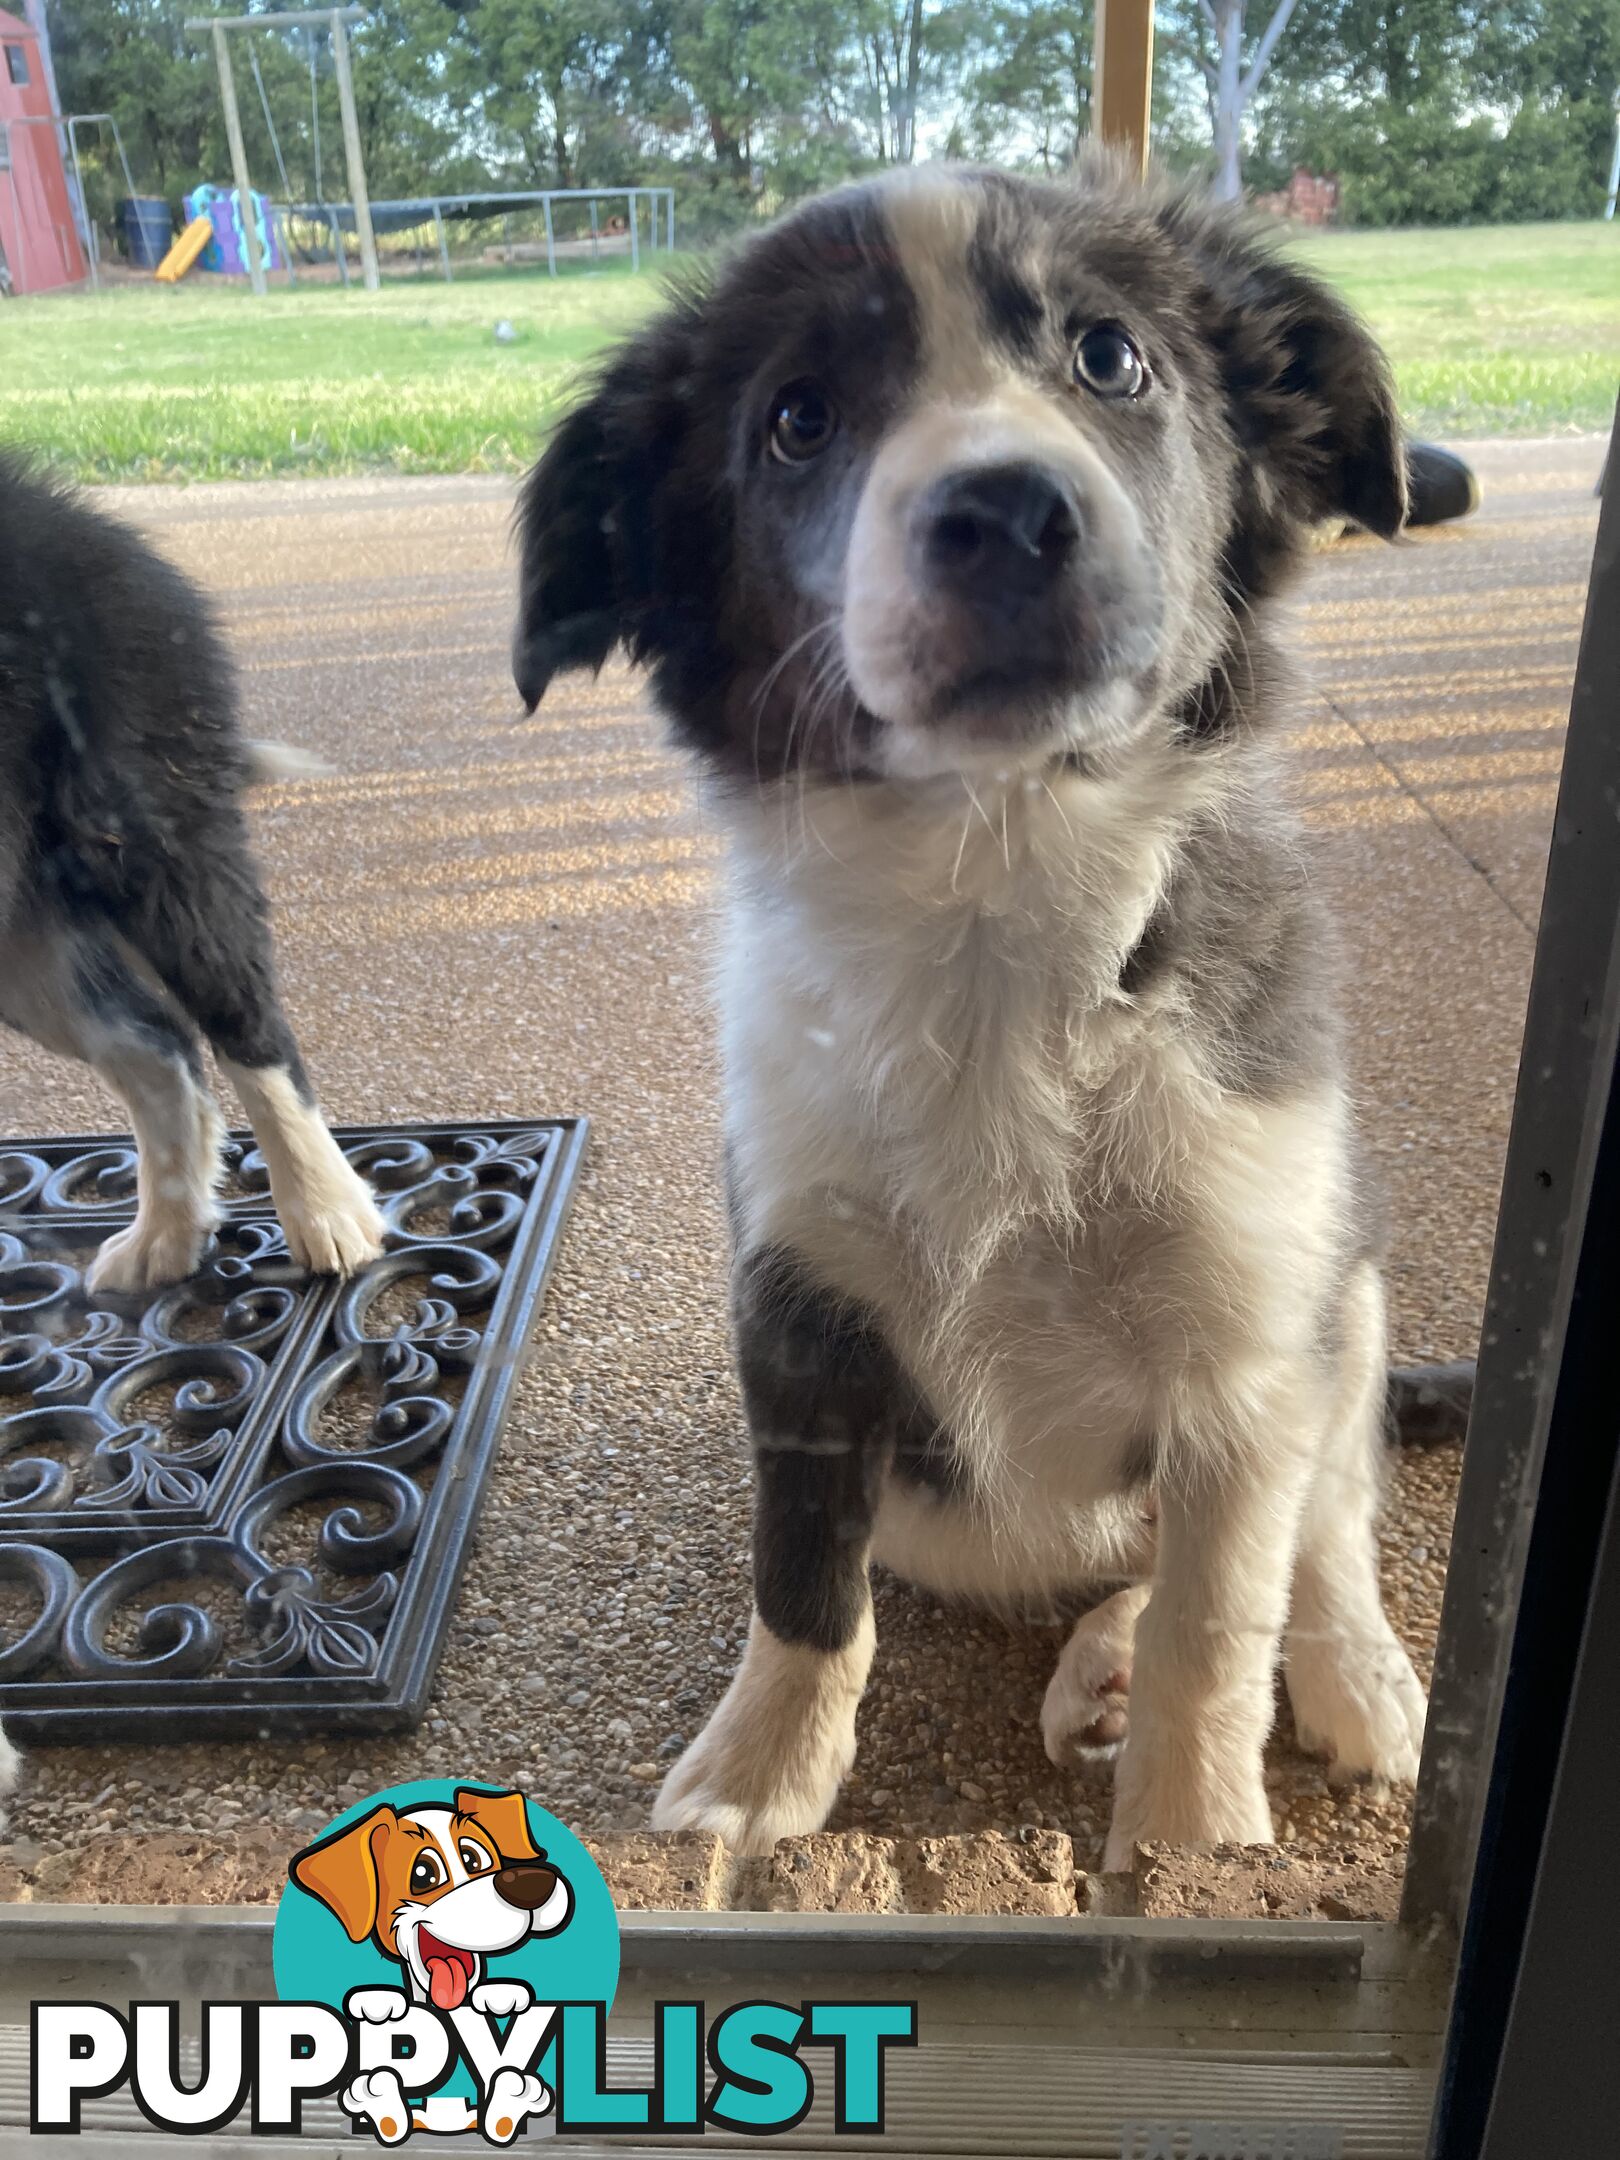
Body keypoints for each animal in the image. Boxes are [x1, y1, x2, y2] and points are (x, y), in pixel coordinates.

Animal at [520, 159, 1434, 1866]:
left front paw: (1190, 1838)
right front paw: (760, 1776)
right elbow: (805, 1579)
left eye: (1110, 357)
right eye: (798, 419)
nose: (1006, 511)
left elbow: (1224, 1613)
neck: (999, 904)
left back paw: (1327, 1674)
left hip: (1344, 1302)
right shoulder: (800, 1308)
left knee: (1323, 1530)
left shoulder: (1245, 1340)